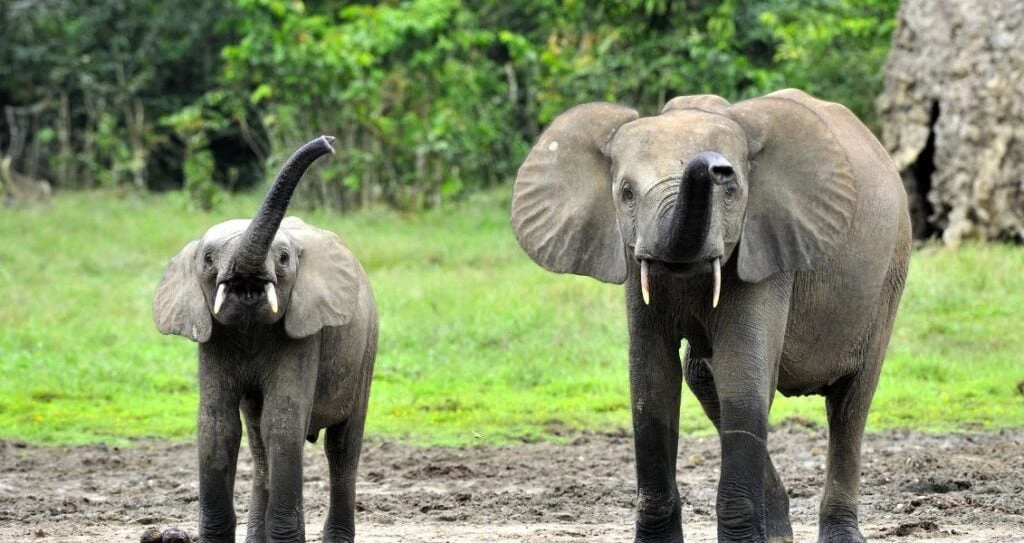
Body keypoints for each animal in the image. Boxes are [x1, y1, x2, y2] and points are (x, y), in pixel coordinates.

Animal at [153, 136, 378, 543]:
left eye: (284, 259)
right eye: (208, 259)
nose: (329, 143)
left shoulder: (304, 333)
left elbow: (283, 421)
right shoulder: (214, 338)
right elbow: (217, 426)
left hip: (366, 348)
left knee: (342, 447)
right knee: (259, 446)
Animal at [510, 89, 911, 543]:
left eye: (731, 187)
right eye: (626, 193)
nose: (716, 166)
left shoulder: (767, 244)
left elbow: (742, 379)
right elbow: (651, 383)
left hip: (889, 273)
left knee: (850, 402)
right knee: (702, 376)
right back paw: (777, 535)